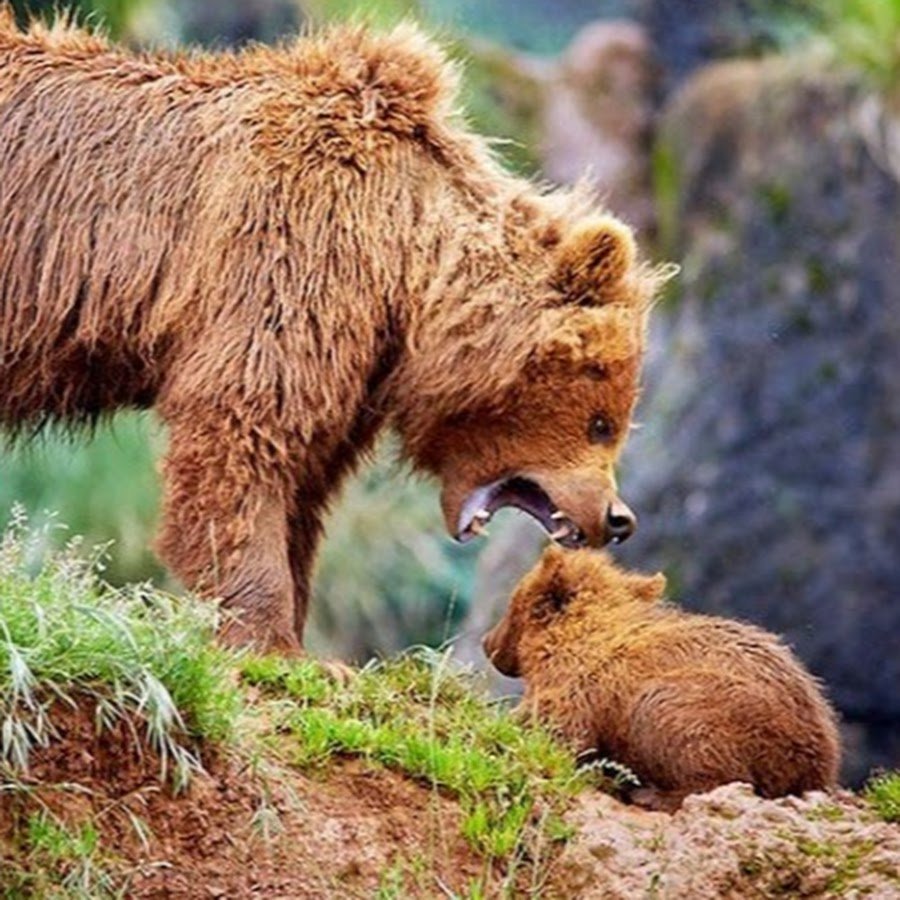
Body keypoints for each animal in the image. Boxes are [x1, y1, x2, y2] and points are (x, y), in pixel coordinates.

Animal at [0, 10, 672, 655]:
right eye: (604, 421)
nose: (619, 519)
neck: (400, 258)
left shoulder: (351, 353)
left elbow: (306, 479)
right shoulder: (290, 250)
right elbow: (245, 435)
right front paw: (270, 637)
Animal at [483, 547, 841, 811]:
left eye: (512, 603)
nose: (488, 643)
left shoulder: (580, 686)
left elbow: (556, 731)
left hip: (725, 713)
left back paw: (654, 794)